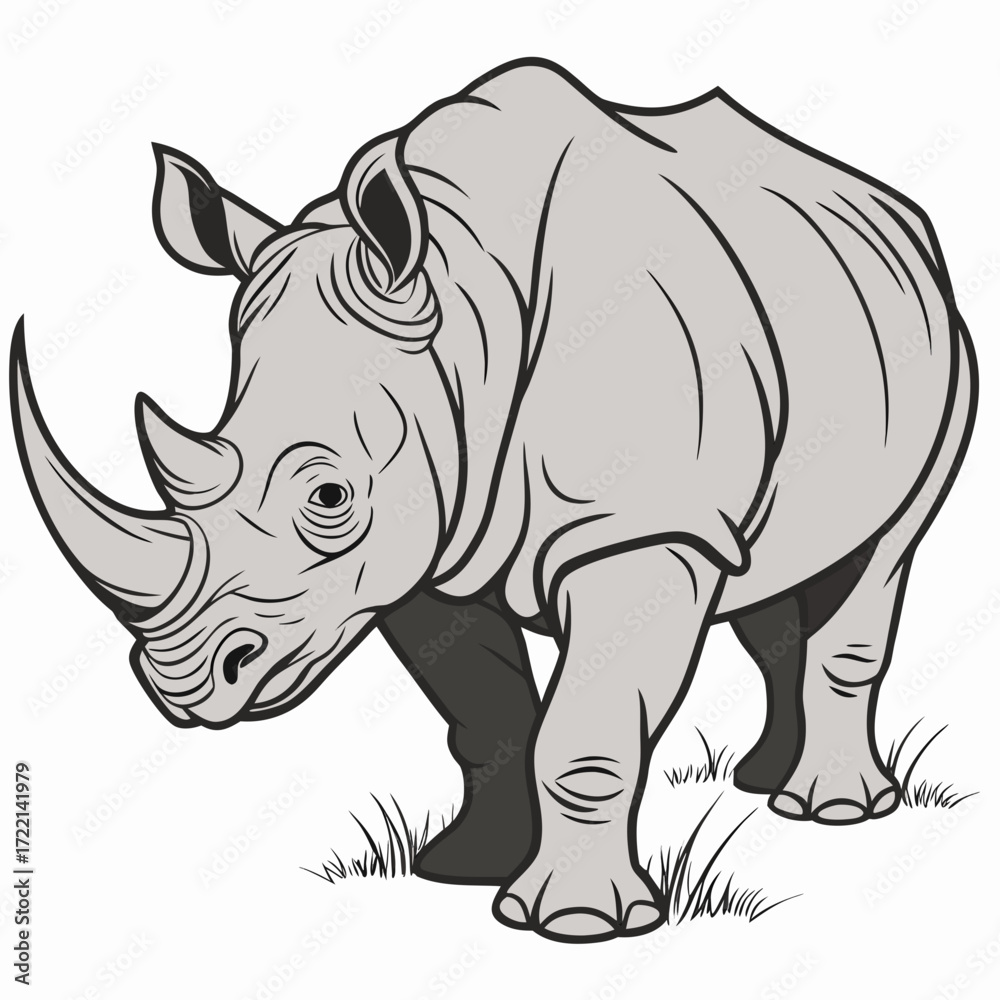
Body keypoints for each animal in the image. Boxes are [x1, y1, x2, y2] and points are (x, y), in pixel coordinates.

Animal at [11, 58, 976, 942]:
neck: (464, 309)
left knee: (879, 557)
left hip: (955, 354)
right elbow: (487, 710)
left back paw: (831, 811)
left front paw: (574, 924)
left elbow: (583, 729)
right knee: (772, 565)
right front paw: (462, 870)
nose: (180, 683)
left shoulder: (638, 529)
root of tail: (899, 213)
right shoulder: (424, 533)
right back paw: (764, 781)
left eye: (329, 495)